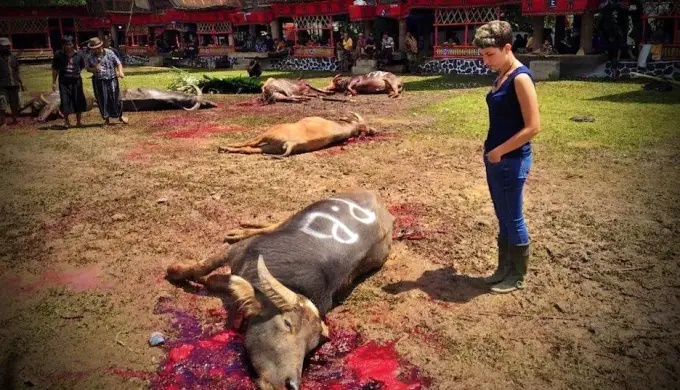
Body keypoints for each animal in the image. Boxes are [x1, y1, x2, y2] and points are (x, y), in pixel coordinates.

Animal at [167, 190, 396, 390]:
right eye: (287, 323)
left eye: (311, 346)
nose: (291, 384)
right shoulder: (236, 251)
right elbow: (201, 267)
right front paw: (175, 270)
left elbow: (217, 280)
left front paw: (210, 280)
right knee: (278, 222)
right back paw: (240, 231)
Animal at [218, 111, 378, 157]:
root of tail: (291, 144)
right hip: (269, 148)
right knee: (249, 149)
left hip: (268, 134)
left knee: (248, 143)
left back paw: (224, 147)